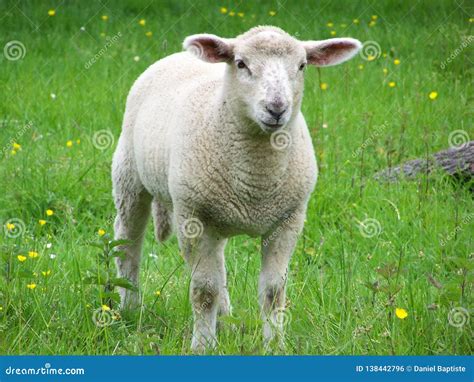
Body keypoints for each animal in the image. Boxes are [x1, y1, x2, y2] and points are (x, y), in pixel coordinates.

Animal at [111, 24, 362, 352]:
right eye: (241, 64)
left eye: (302, 66)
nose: (277, 108)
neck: (257, 180)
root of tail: (180, 54)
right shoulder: (193, 218)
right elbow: (204, 290)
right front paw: (203, 346)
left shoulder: (288, 221)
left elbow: (273, 291)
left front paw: (274, 345)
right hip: (129, 176)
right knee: (128, 243)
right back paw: (130, 306)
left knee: (219, 266)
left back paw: (225, 318)